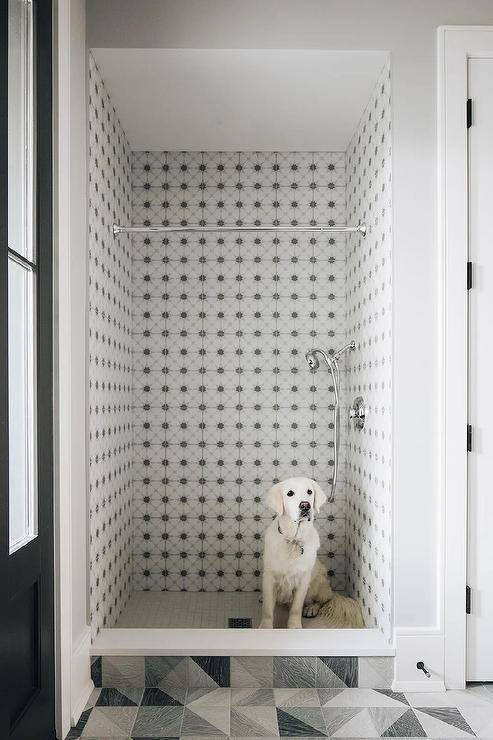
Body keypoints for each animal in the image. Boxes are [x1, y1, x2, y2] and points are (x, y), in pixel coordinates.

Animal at [260, 476, 332, 628]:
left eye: (309, 492)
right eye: (290, 493)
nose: (305, 505)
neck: (293, 540)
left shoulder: (303, 580)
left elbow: (296, 608)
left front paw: (294, 626)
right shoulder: (269, 577)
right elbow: (267, 609)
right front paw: (265, 627)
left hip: (319, 582)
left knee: (323, 599)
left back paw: (311, 608)